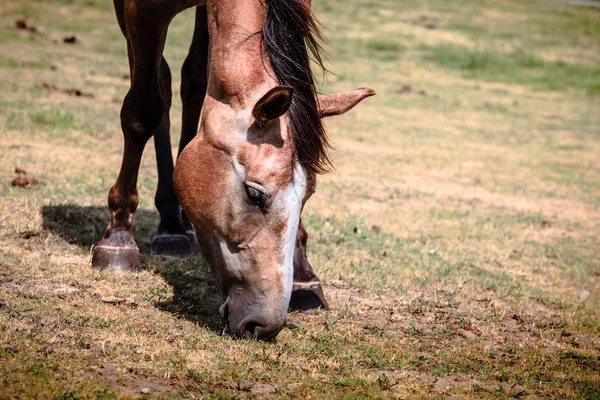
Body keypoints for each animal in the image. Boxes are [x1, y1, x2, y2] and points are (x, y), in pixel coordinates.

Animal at [92, 0, 376, 340]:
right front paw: (118, 238)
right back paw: (168, 223)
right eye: (254, 194)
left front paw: (304, 277)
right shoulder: (141, 11)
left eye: (308, 195)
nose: (264, 325)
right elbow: (142, 112)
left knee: (193, 79)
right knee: (162, 84)